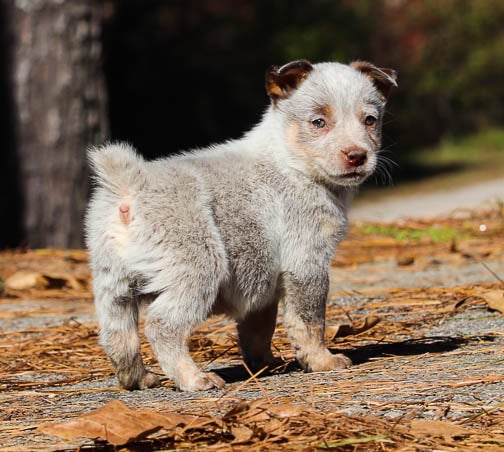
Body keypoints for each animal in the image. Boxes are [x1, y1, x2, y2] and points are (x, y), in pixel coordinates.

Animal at [85, 59, 398, 392]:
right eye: (318, 122)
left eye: (370, 120)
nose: (357, 155)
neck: (289, 161)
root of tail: (131, 184)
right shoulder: (306, 262)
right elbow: (309, 322)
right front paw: (322, 361)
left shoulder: (264, 281)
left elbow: (259, 330)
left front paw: (266, 365)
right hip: (199, 268)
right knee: (162, 325)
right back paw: (194, 378)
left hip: (113, 284)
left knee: (117, 335)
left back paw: (138, 378)